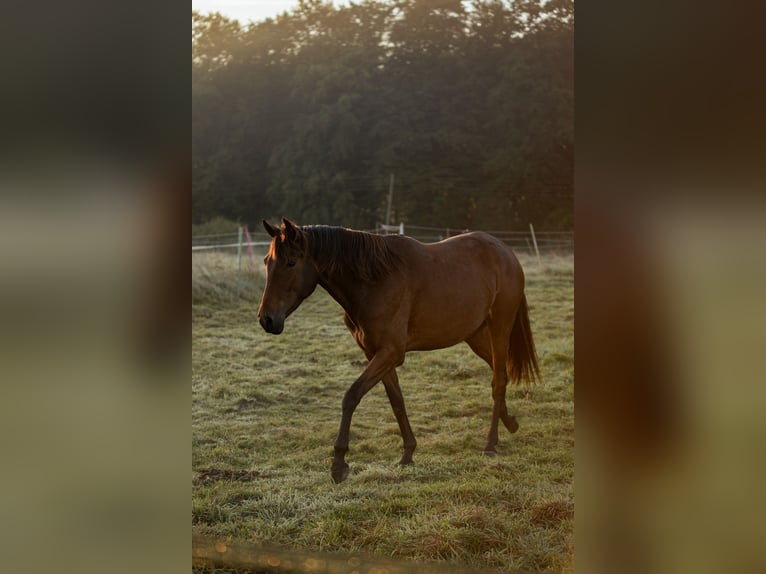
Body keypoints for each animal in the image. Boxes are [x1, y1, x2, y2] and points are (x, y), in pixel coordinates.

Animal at [260, 218, 544, 484]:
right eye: (266, 262)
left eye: (291, 263)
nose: (267, 320)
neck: (374, 281)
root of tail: (505, 252)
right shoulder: (376, 354)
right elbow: (396, 400)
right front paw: (408, 453)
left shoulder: (390, 352)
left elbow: (351, 396)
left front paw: (339, 463)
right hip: (475, 336)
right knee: (501, 373)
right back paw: (510, 422)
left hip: (499, 330)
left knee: (498, 381)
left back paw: (490, 443)